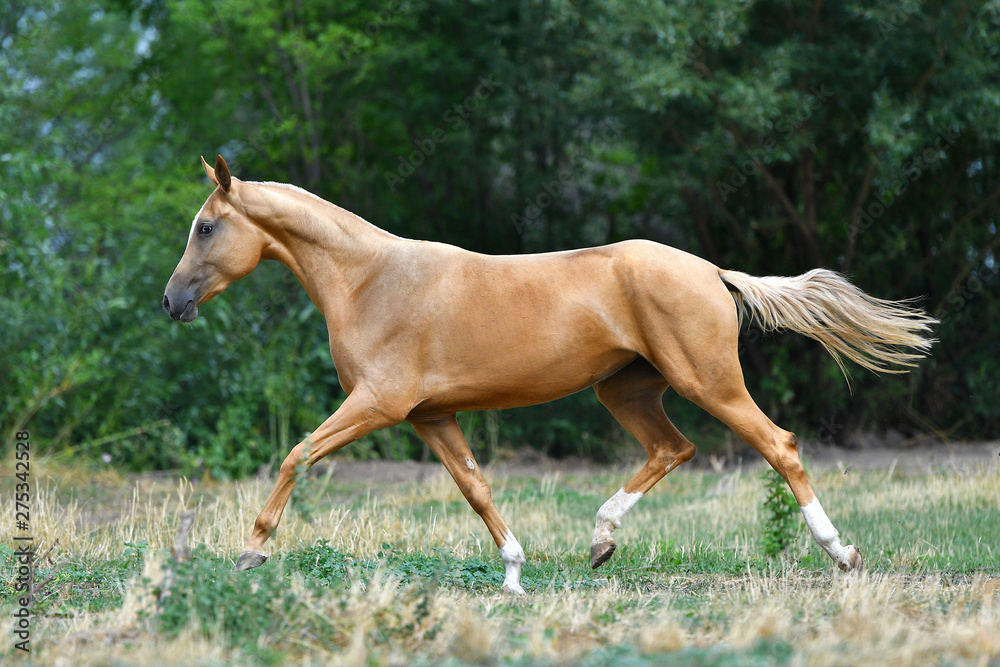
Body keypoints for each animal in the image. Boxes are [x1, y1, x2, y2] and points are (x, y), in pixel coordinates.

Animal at [164, 157, 936, 596]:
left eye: (206, 227)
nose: (171, 302)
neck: (371, 280)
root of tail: (712, 271)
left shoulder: (377, 403)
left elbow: (297, 454)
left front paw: (250, 553)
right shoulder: (429, 416)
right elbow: (476, 488)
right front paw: (513, 574)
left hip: (708, 382)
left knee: (779, 445)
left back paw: (842, 554)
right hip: (625, 389)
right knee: (674, 448)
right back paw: (601, 539)